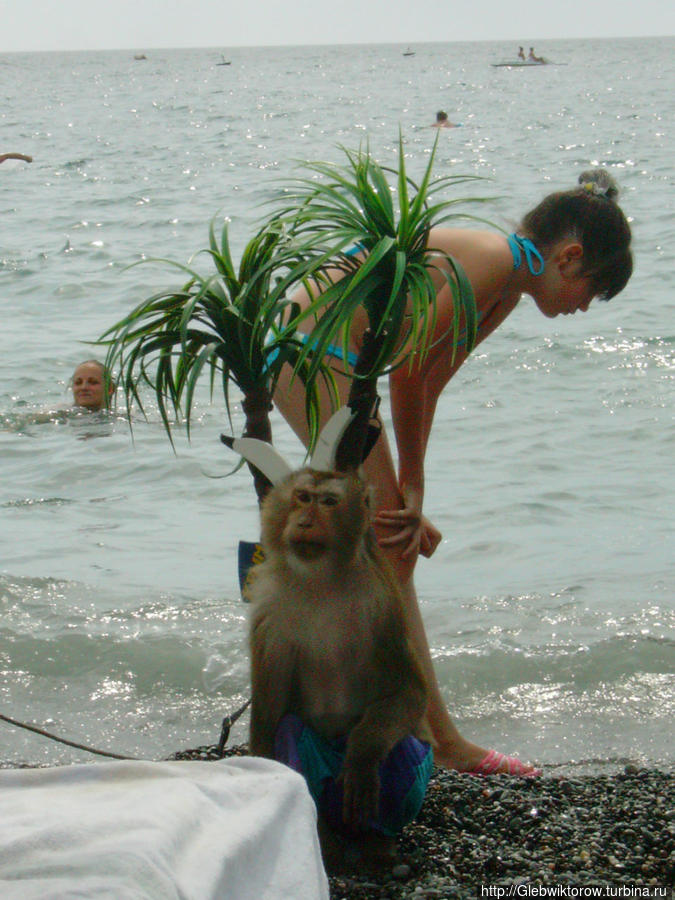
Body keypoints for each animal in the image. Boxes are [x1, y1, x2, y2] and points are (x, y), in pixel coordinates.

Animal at [247, 468, 434, 856]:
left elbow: (409, 692)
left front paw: (362, 755)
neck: (320, 579)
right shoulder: (268, 606)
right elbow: (271, 710)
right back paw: (323, 836)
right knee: (289, 728)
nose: (304, 521)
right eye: (303, 497)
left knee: (399, 748)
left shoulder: (381, 602)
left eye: (329, 502)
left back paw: (377, 842)